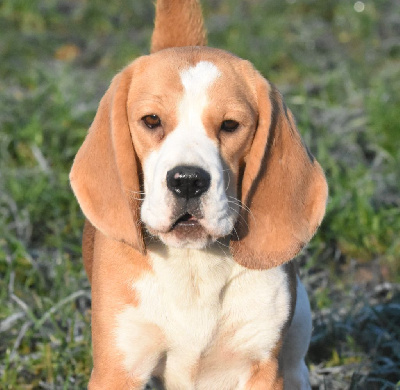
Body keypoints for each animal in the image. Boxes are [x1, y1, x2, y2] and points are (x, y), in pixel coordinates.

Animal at [69, 0, 328, 386]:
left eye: (230, 125)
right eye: (151, 120)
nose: (188, 181)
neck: (194, 268)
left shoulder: (262, 368)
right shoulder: (118, 368)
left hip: (296, 338)